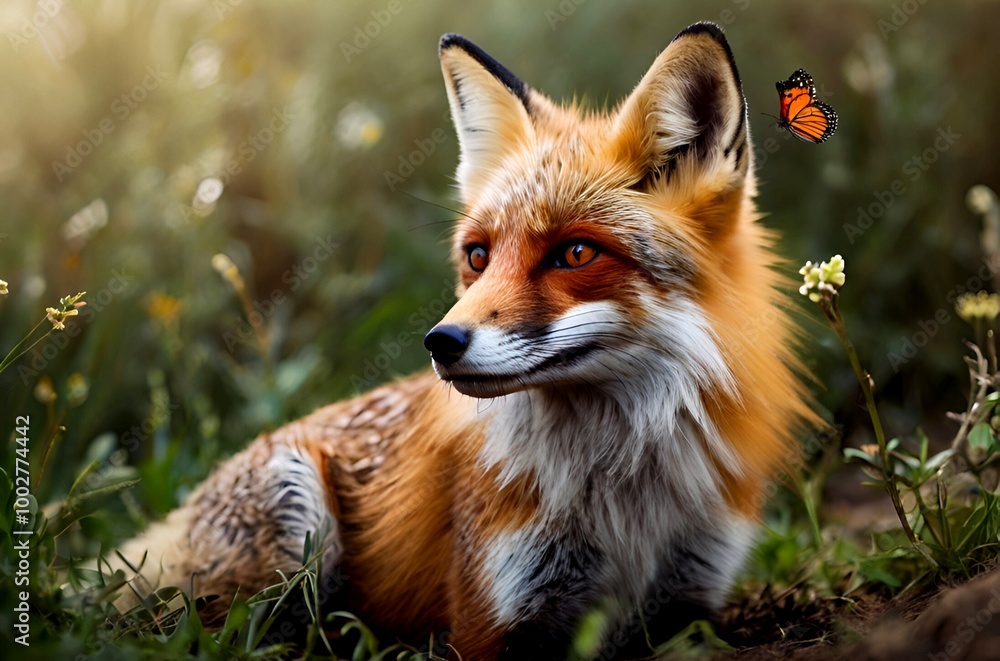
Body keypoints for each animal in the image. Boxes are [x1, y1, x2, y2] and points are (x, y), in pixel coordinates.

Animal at [112, 22, 815, 660]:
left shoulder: (690, 605)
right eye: (478, 256)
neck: (626, 495)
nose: (441, 341)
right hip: (295, 517)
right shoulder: (491, 617)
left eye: (575, 253)